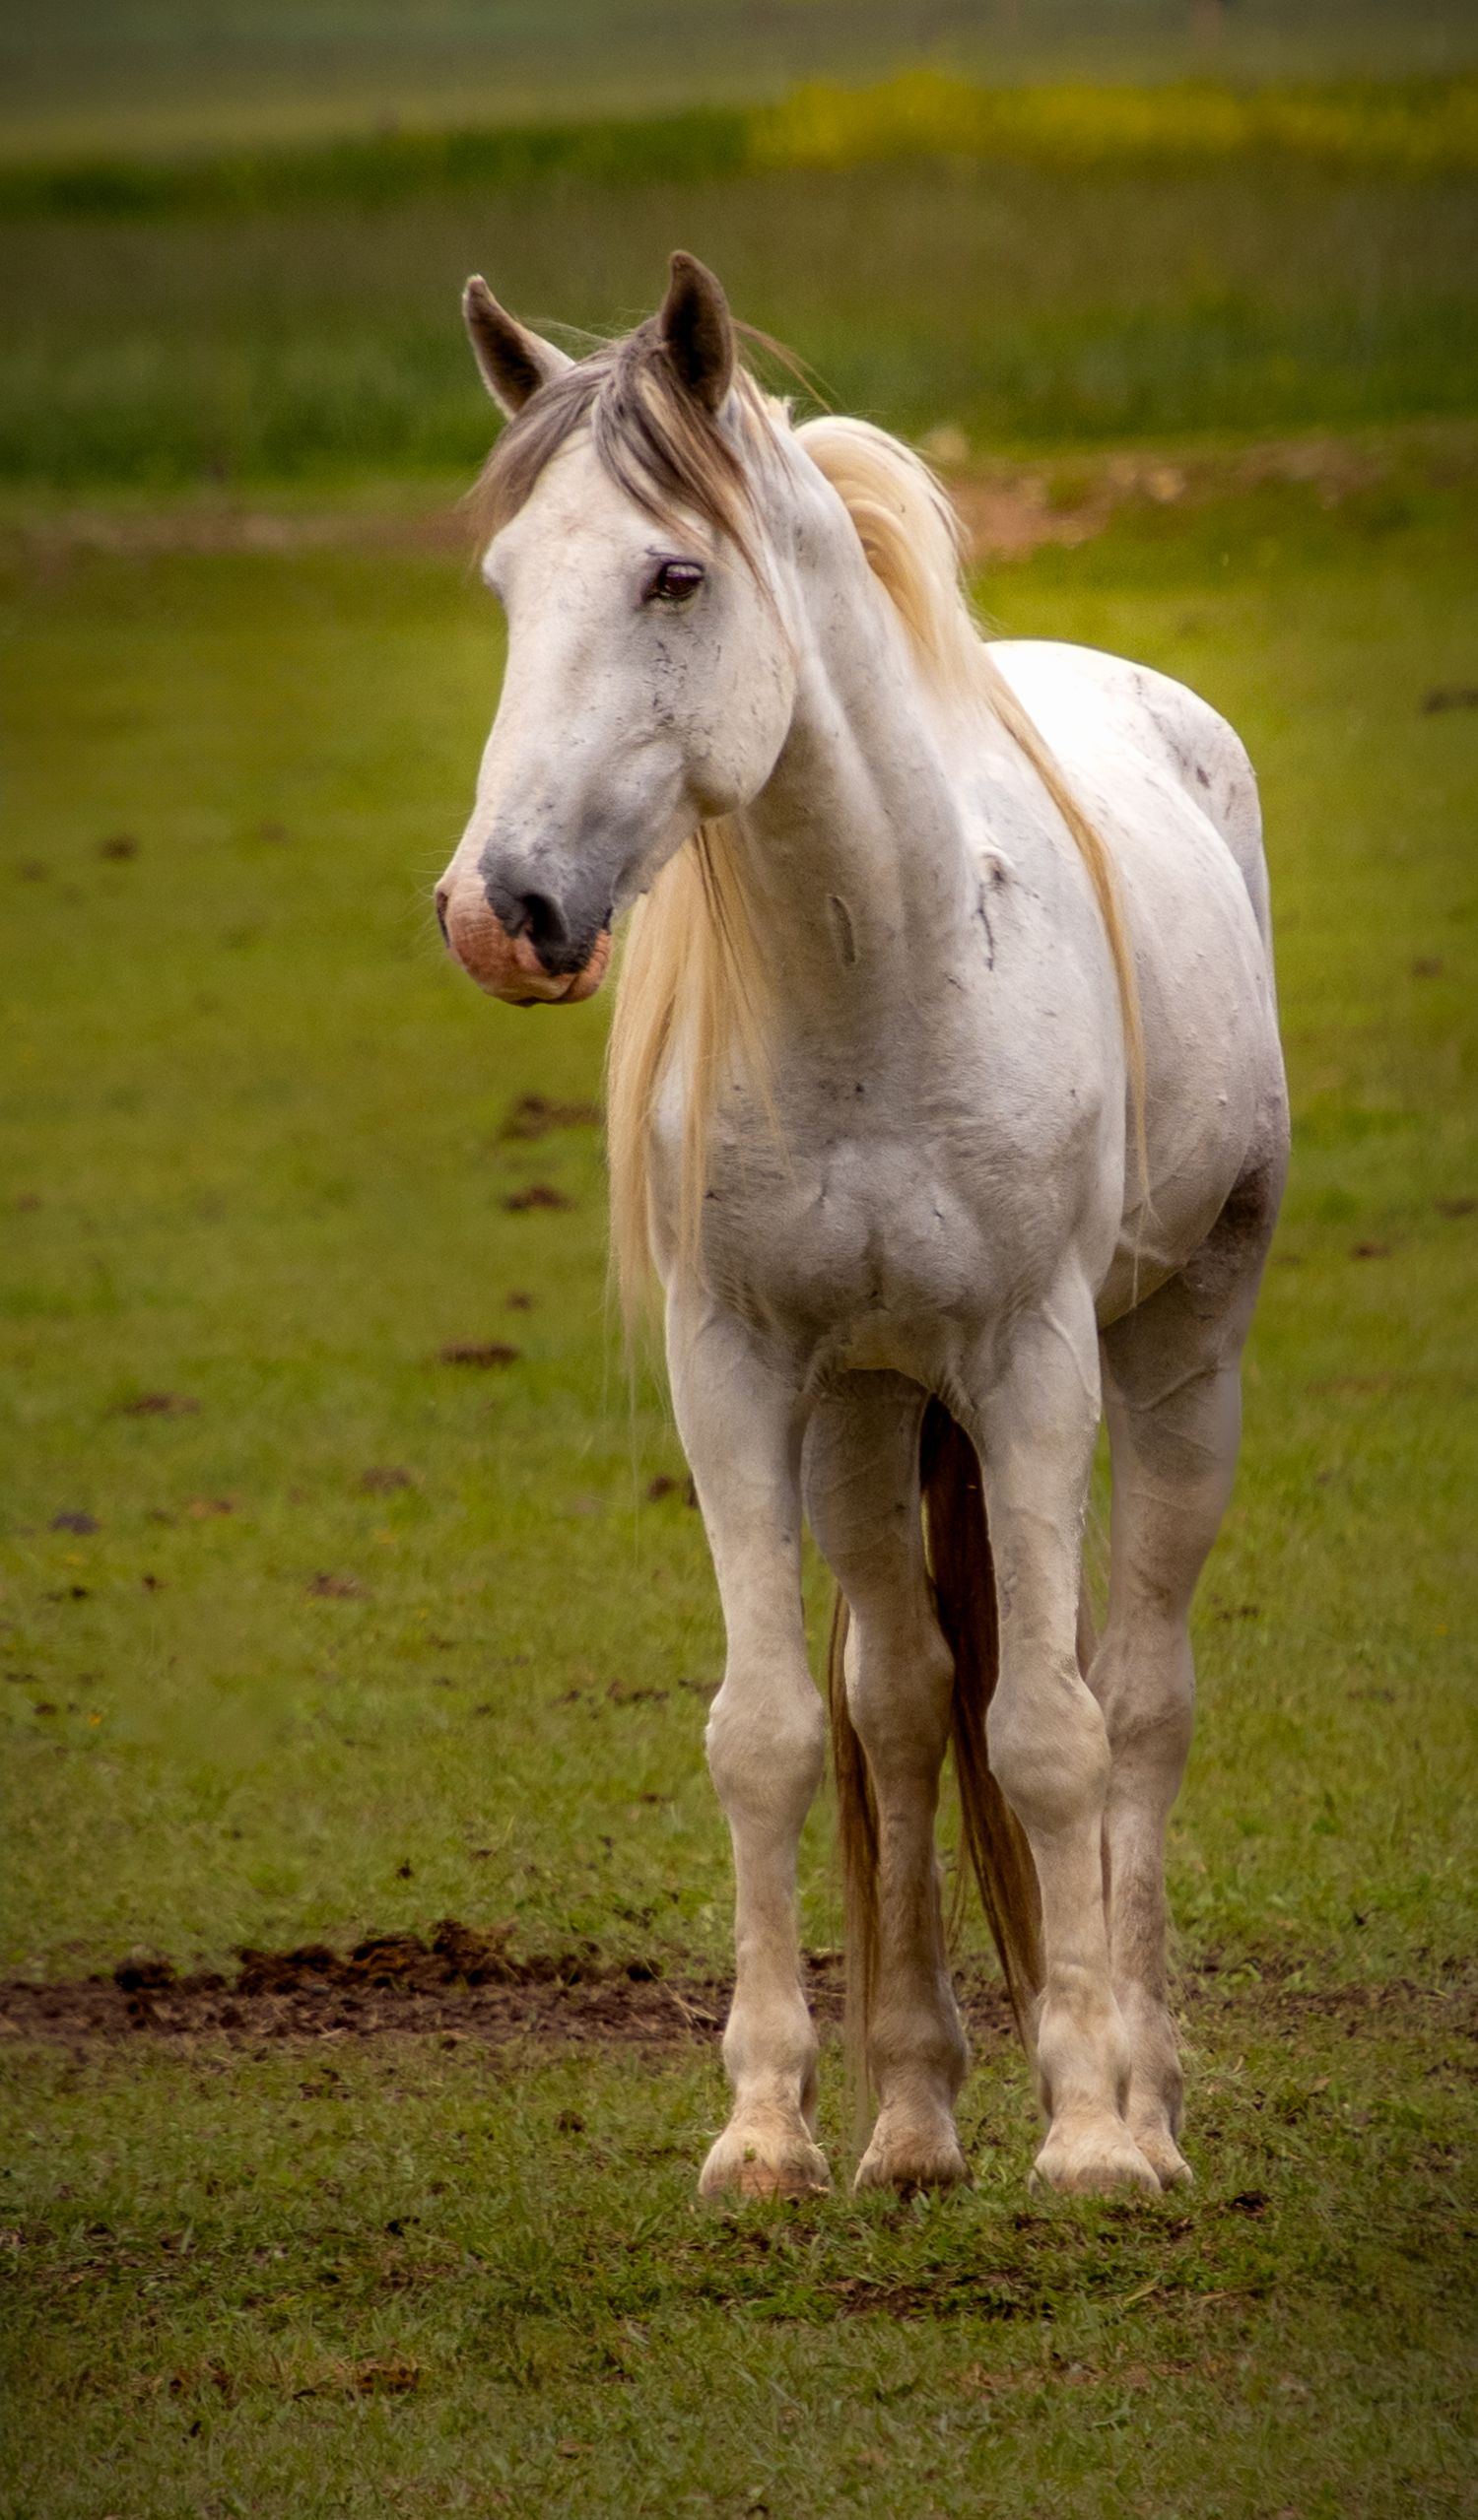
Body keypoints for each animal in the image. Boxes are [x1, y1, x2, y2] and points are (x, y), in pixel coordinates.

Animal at [434, 252, 1289, 2202]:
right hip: (872, 1408)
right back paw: (912, 2116)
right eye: (509, 580)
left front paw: (1091, 2138)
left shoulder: (1038, 1365)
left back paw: (1147, 2095)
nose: (499, 911)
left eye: (674, 575)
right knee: (899, 1698)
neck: (883, 976)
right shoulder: (741, 1372)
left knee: (1142, 1694)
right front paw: (766, 2128)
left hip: (1177, 1354)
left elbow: (1050, 1731)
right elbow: (773, 1732)